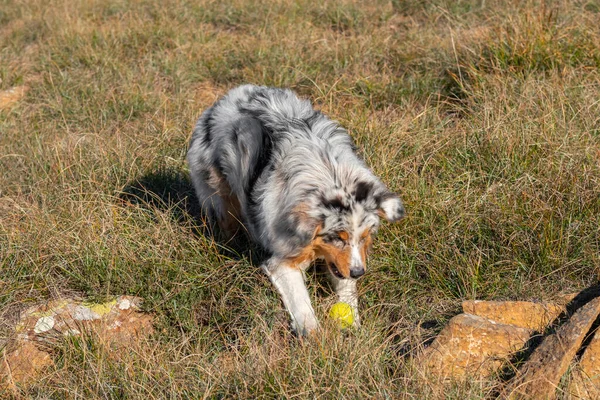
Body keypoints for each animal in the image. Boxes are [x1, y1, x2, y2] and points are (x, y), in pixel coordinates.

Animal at [186, 86, 404, 336]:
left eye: (366, 237)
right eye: (338, 238)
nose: (360, 273)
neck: (330, 174)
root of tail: (227, 96)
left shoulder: (345, 262)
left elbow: (347, 287)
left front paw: (353, 324)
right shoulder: (281, 261)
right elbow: (301, 304)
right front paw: (315, 338)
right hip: (217, 193)